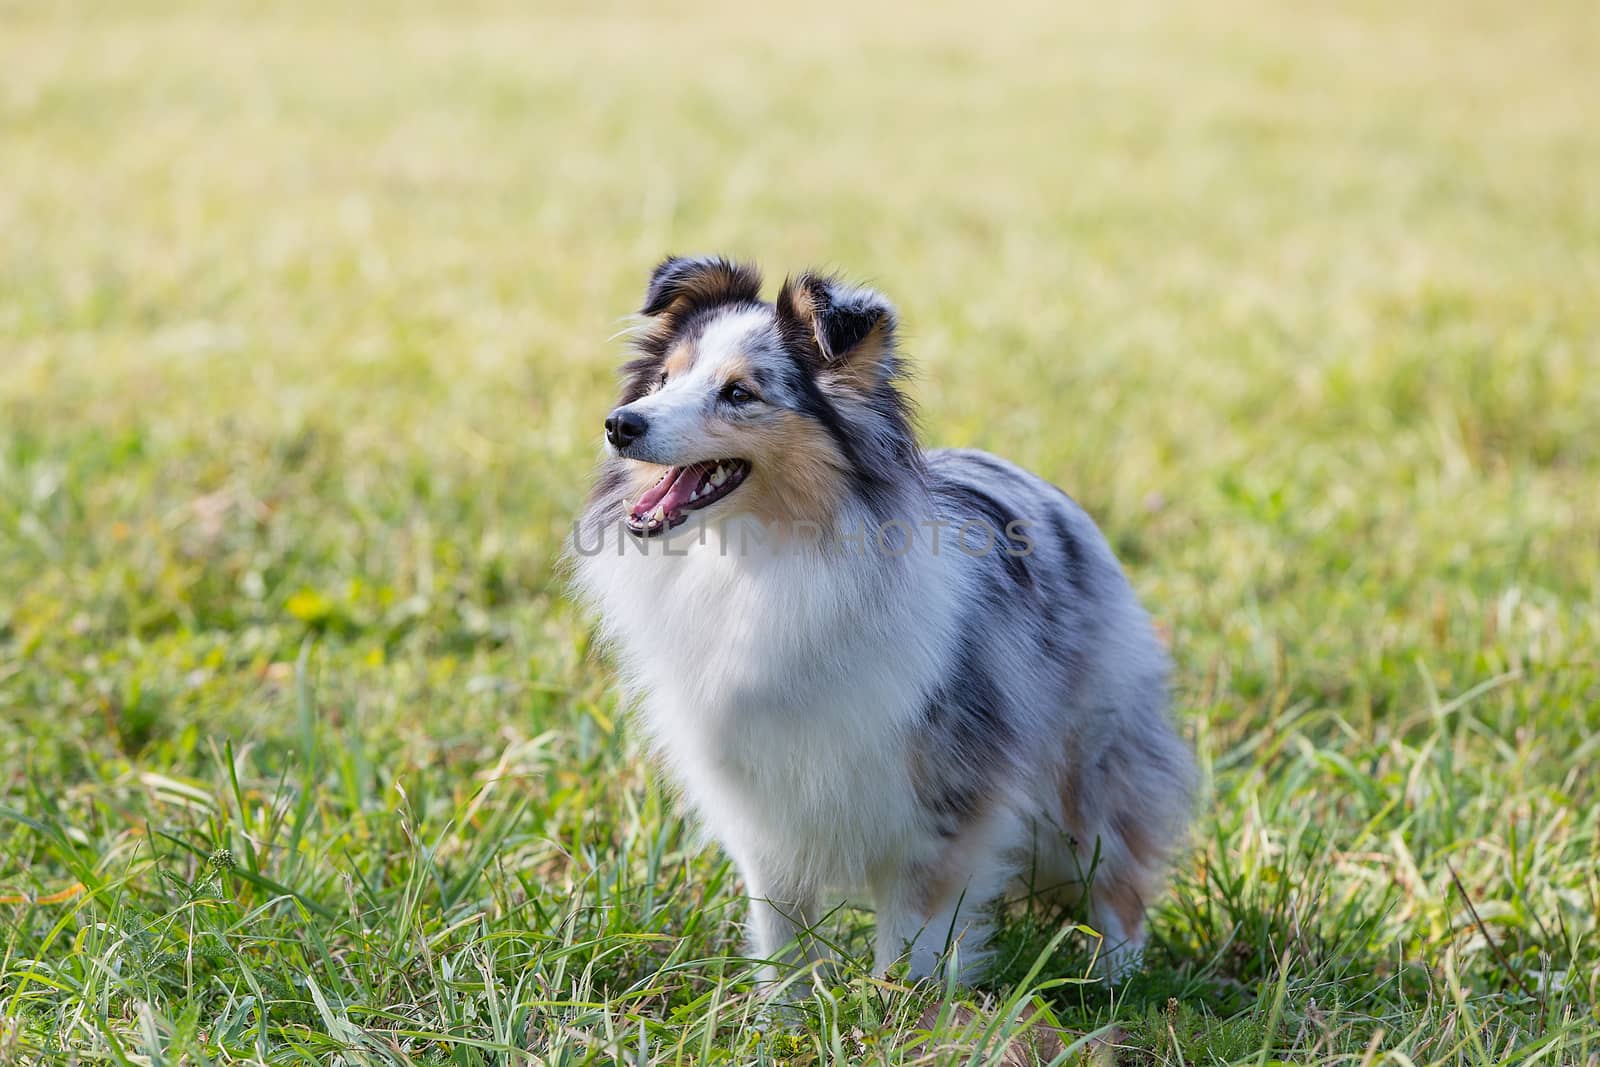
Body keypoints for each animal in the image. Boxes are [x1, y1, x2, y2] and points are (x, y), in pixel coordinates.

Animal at [569, 255, 1196, 985]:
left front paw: (899, 1005)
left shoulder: (940, 810)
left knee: (1117, 871)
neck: (757, 564)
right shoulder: (765, 810)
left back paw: (1116, 982)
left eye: (740, 393)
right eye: (665, 380)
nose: (620, 424)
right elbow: (781, 936)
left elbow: (914, 942)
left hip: (1089, 760)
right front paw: (782, 1010)